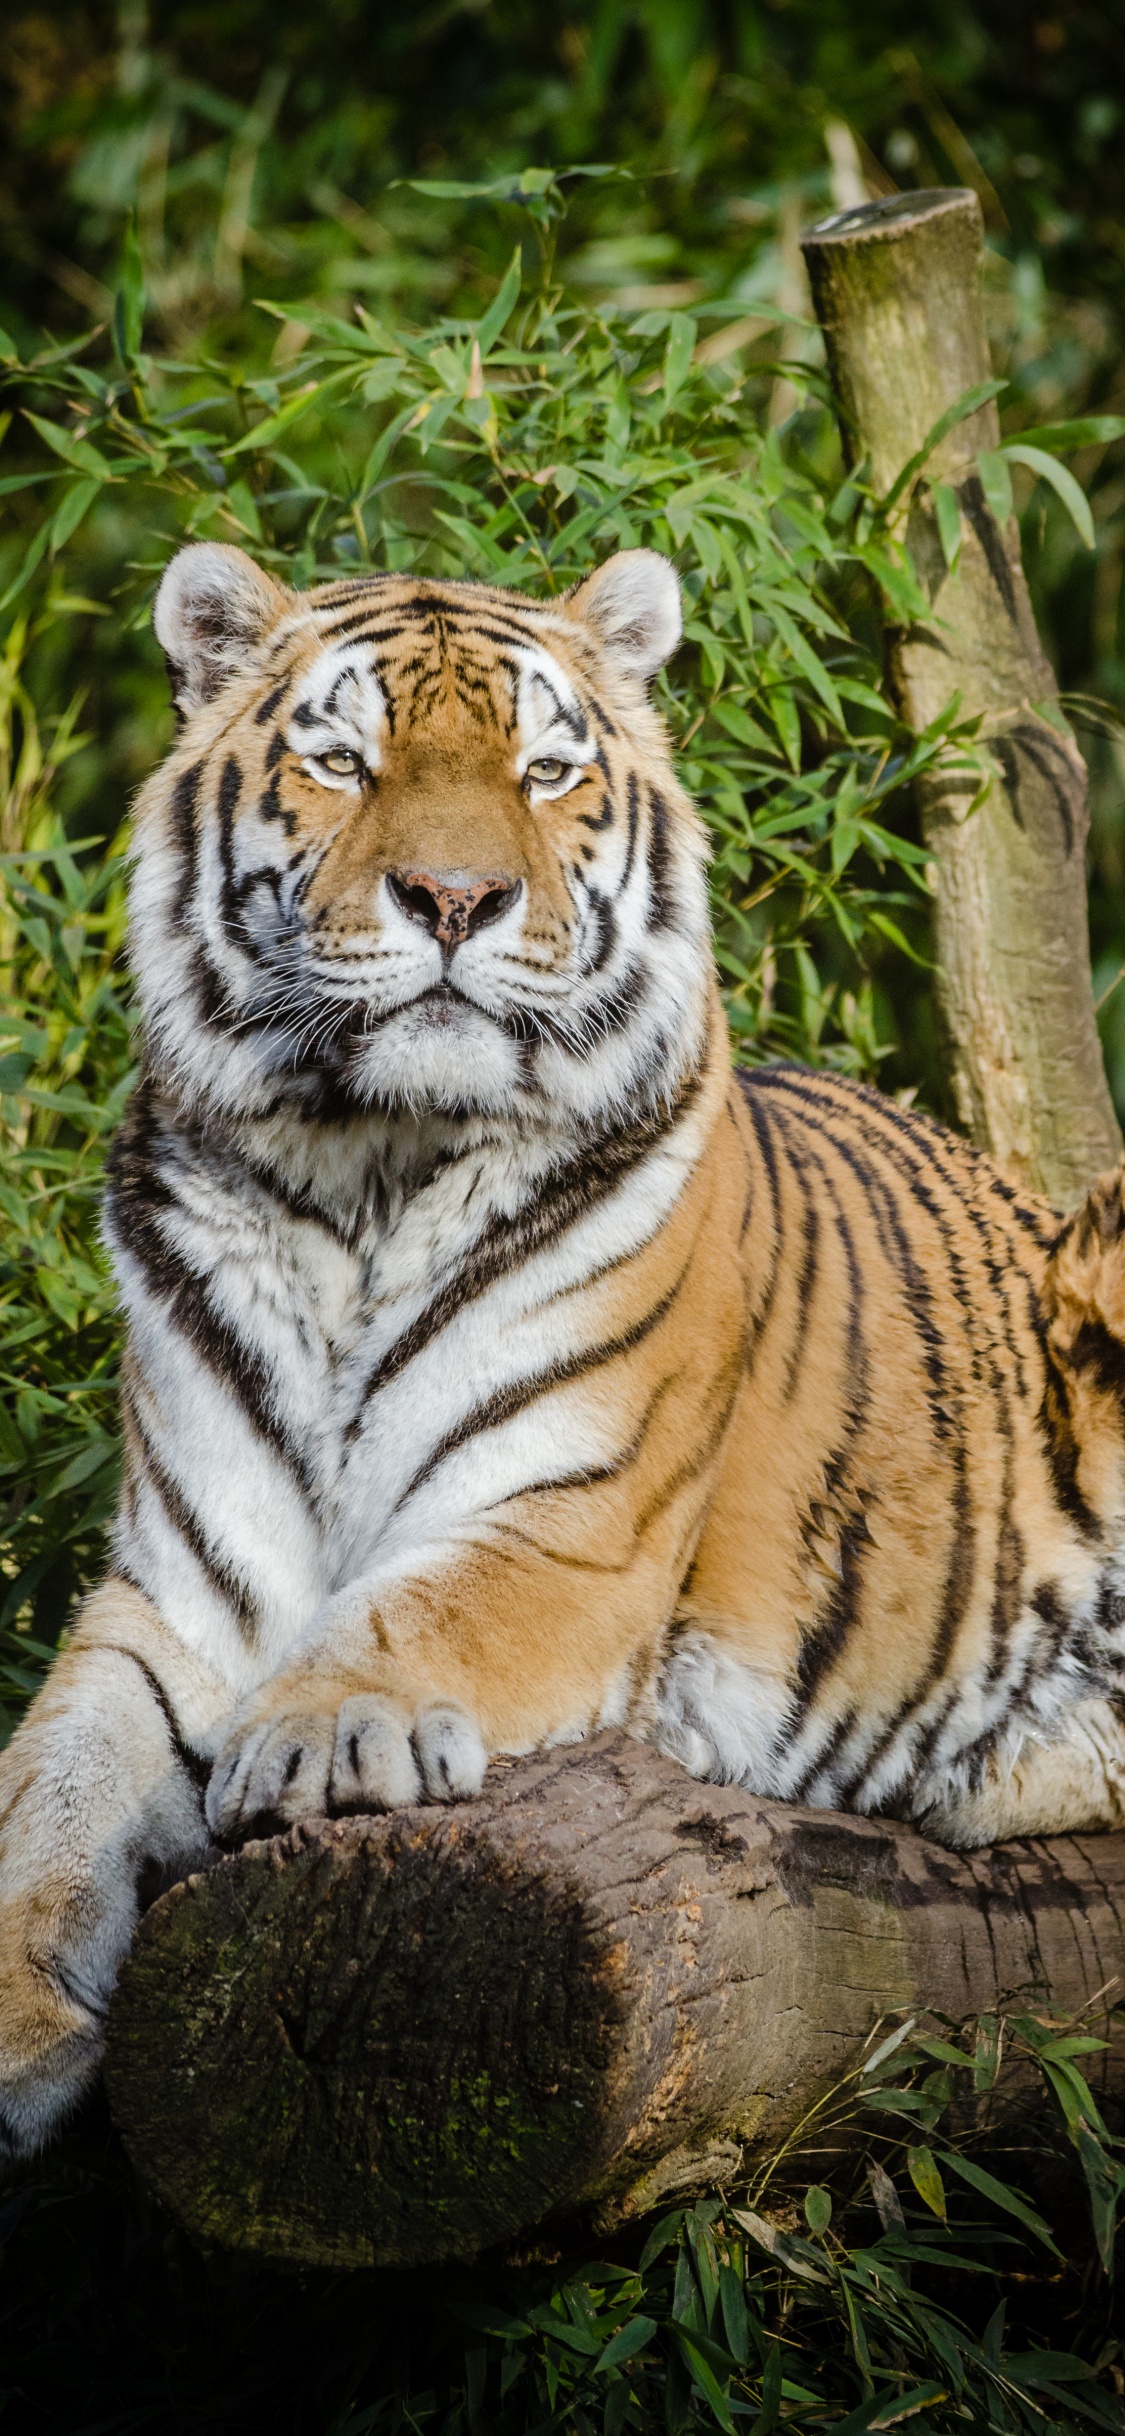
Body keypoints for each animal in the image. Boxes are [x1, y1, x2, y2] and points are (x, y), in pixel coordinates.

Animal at [4, 536, 1125, 2164]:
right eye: (342, 762)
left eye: (544, 771)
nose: (454, 897)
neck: (364, 1173)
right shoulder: (179, 1599)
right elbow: (46, 1783)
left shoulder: (568, 1528)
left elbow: (415, 1613)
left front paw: (323, 1737)